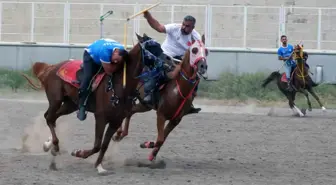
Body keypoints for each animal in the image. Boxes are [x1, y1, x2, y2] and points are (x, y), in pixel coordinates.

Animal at [20, 33, 164, 175]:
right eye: (151, 48)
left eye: (159, 46)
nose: (167, 62)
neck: (119, 85)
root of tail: (50, 68)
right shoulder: (100, 117)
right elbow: (97, 145)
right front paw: (79, 153)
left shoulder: (116, 120)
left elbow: (104, 145)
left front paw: (99, 165)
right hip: (55, 99)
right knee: (49, 117)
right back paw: (54, 147)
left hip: (70, 105)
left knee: (52, 118)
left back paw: (48, 145)